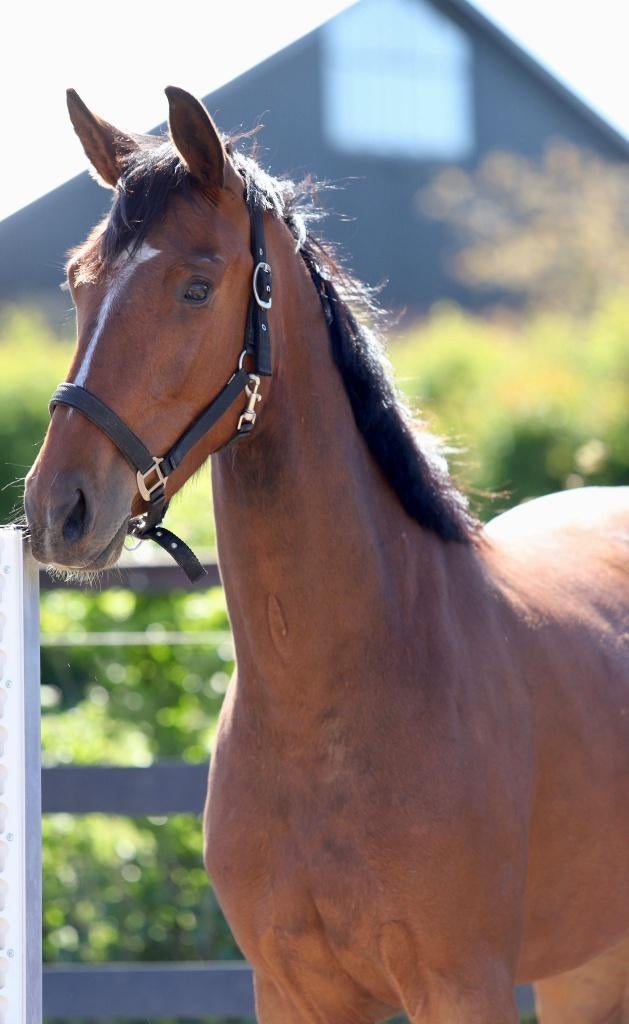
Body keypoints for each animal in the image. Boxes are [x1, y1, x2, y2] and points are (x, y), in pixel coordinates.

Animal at [24, 88, 629, 1023]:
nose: (59, 509)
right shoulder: (292, 991)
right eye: (78, 281)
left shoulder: (462, 986)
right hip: (586, 970)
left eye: (196, 287)